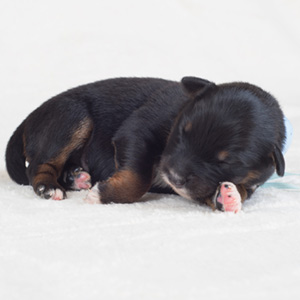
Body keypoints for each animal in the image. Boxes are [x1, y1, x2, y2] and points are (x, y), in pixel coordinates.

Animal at [5, 77, 284, 211]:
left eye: (227, 162)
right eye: (182, 132)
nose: (173, 175)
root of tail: (29, 118)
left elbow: (238, 189)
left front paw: (229, 197)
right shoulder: (137, 131)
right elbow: (138, 178)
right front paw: (102, 195)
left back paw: (78, 178)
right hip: (71, 116)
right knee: (39, 166)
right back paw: (49, 187)